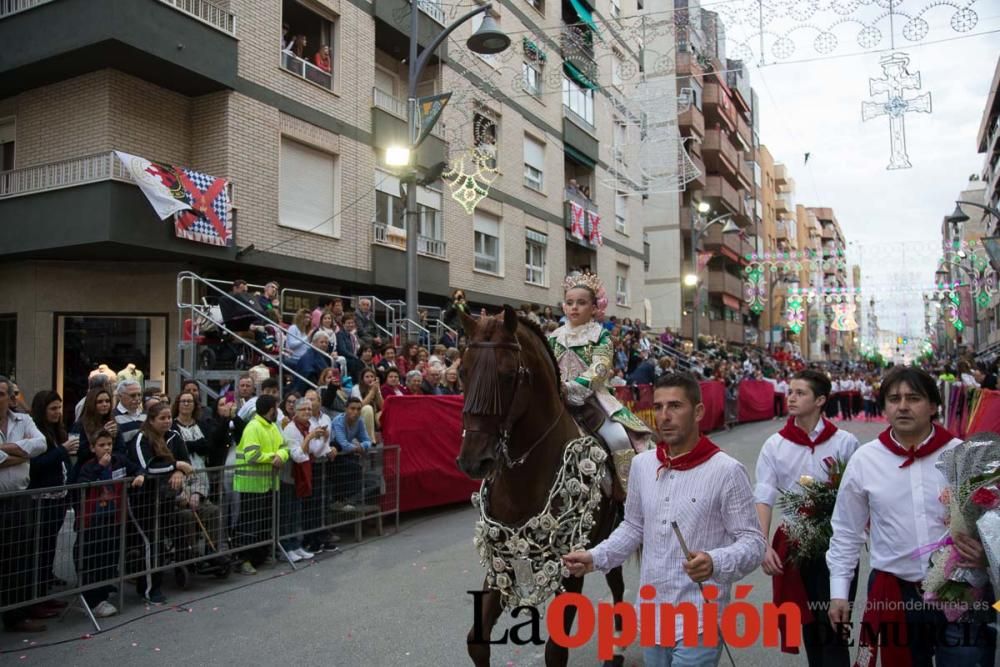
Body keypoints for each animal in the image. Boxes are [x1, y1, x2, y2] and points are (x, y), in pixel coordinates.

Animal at [456, 306, 624, 664]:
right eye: (462, 372)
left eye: (508, 375)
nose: (473, 461)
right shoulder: (501, 561)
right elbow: (476, 640)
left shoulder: (571, 568)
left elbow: (556, 651)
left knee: (618, 587)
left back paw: (617, 649)